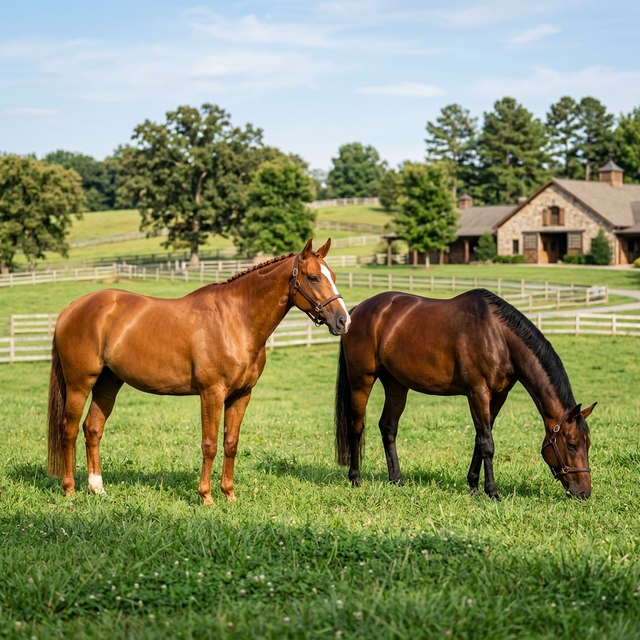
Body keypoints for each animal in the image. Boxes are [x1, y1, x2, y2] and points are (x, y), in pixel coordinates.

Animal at [48, 238, 350, 504]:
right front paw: (206, 496)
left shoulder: (241, 395)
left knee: (93, 428)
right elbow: (210, 444)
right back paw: (69, 489)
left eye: (334, 275)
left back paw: (97, 488)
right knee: (69, 430)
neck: (235, 320)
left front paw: (229, 494)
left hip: (108, 383)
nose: (343, 320)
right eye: (313, 277)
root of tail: (69, 309)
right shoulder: (211, 393)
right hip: (79, 384)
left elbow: (230, 443)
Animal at [335, 289, 595, 500]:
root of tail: (357, 310)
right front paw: (492, 492)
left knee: (388, 427)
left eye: (588, 443)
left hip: (396, 384)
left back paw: (396, 480)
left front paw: (473, 486)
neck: (498, 337)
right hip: (362, 381)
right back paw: (355, 477)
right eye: (572, 445)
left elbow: (480, 439)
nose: (584, 492)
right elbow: (487, 443)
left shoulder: (498, 396)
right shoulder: (477, 393)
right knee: (356, 425)